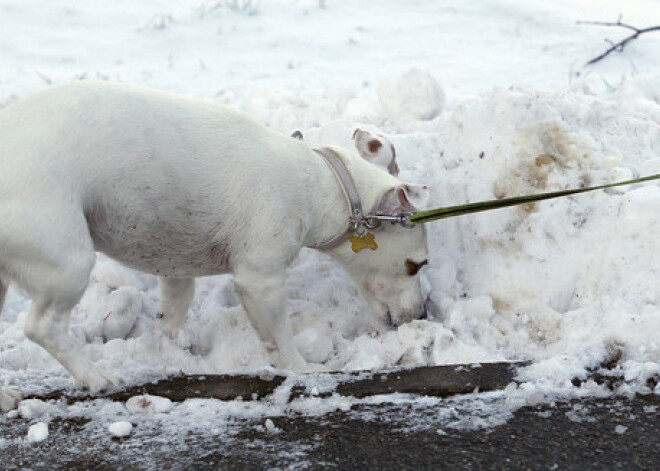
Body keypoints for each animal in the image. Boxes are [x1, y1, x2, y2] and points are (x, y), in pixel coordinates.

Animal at [0, 82, 430, 410]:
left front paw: (168, 348)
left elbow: (175, 307)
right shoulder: (260, 280)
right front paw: (305, 368)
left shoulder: (173, 262)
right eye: (417, 265)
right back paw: (95, 376)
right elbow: (279, 337)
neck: (317, 183)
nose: (424, 314)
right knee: (42, 326)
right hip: (68, 262)